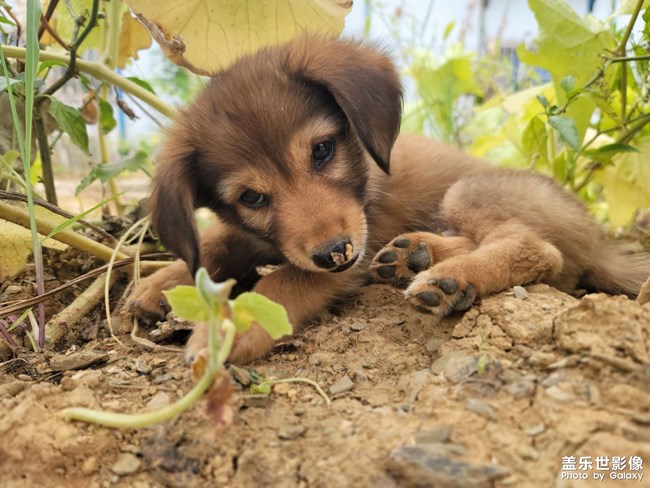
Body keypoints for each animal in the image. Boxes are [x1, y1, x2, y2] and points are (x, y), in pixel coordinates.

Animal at [126, 35, 648, 362]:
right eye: (252, 196)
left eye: (322, 150)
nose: (335, 252)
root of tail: (597, 239)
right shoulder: (259, 235)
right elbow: (214, 242)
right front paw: (161, 282)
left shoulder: (354, 240)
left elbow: (281, 282)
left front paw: (229, 329)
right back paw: (414, 256)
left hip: (473, 189)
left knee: (539, 250)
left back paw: (448, 276)